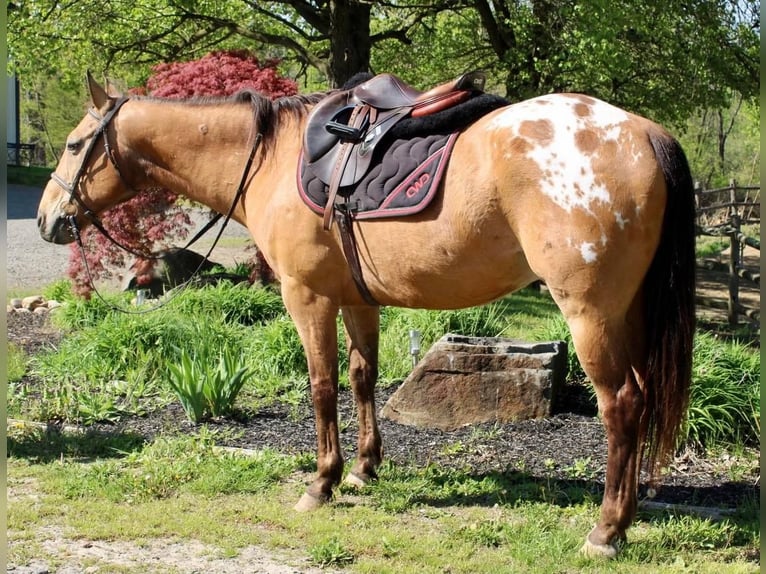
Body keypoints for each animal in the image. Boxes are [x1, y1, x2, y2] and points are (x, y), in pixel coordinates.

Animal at [36, 72, 696, 560]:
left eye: (73, 145)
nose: (47, 220)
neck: (269, 160)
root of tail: (643, 133)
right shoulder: (357, 299)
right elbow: (362, 378)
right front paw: (362, 470)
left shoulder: (307, 297)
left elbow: (322, 385)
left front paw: (321, 482)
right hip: (628, 313)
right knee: (642, 402)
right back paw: (626, 515)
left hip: (589, 313)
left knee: (622, 405)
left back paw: (605, 533)